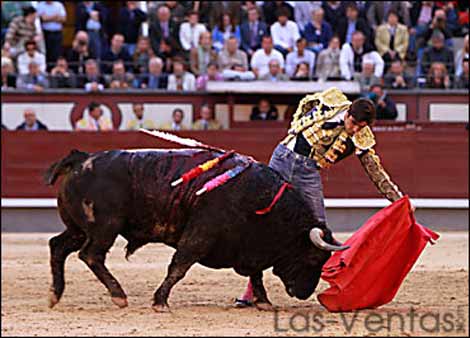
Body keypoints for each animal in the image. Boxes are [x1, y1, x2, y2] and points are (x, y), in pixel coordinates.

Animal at [45, 148, 346, 312]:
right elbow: (179, 267)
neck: (262, 202)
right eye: (313, 258)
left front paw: (263, 302)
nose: (305, 293)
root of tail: (82, 159)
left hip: (79, 228)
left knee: (58, 246)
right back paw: (118, 296)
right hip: (105, 227)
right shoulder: (200, 236)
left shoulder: (249, 247)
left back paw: (55, 294)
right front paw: (160, 302)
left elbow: (256, 273)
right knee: (91, 255)